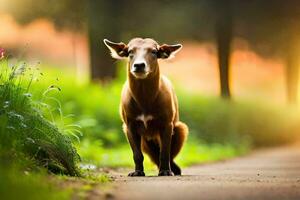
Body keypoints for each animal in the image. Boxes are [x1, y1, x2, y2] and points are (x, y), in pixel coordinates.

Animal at [103, 38, 188, 177]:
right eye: (130, 51)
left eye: (154, 51)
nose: (139, 65)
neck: (145, 101)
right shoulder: (129, 125)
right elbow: (137, 154)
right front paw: (137, 172)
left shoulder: (167, 123)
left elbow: (165, 152)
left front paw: (165, 171)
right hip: (145, 142)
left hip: (181, 128)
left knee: (168, 155)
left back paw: (174, 170)